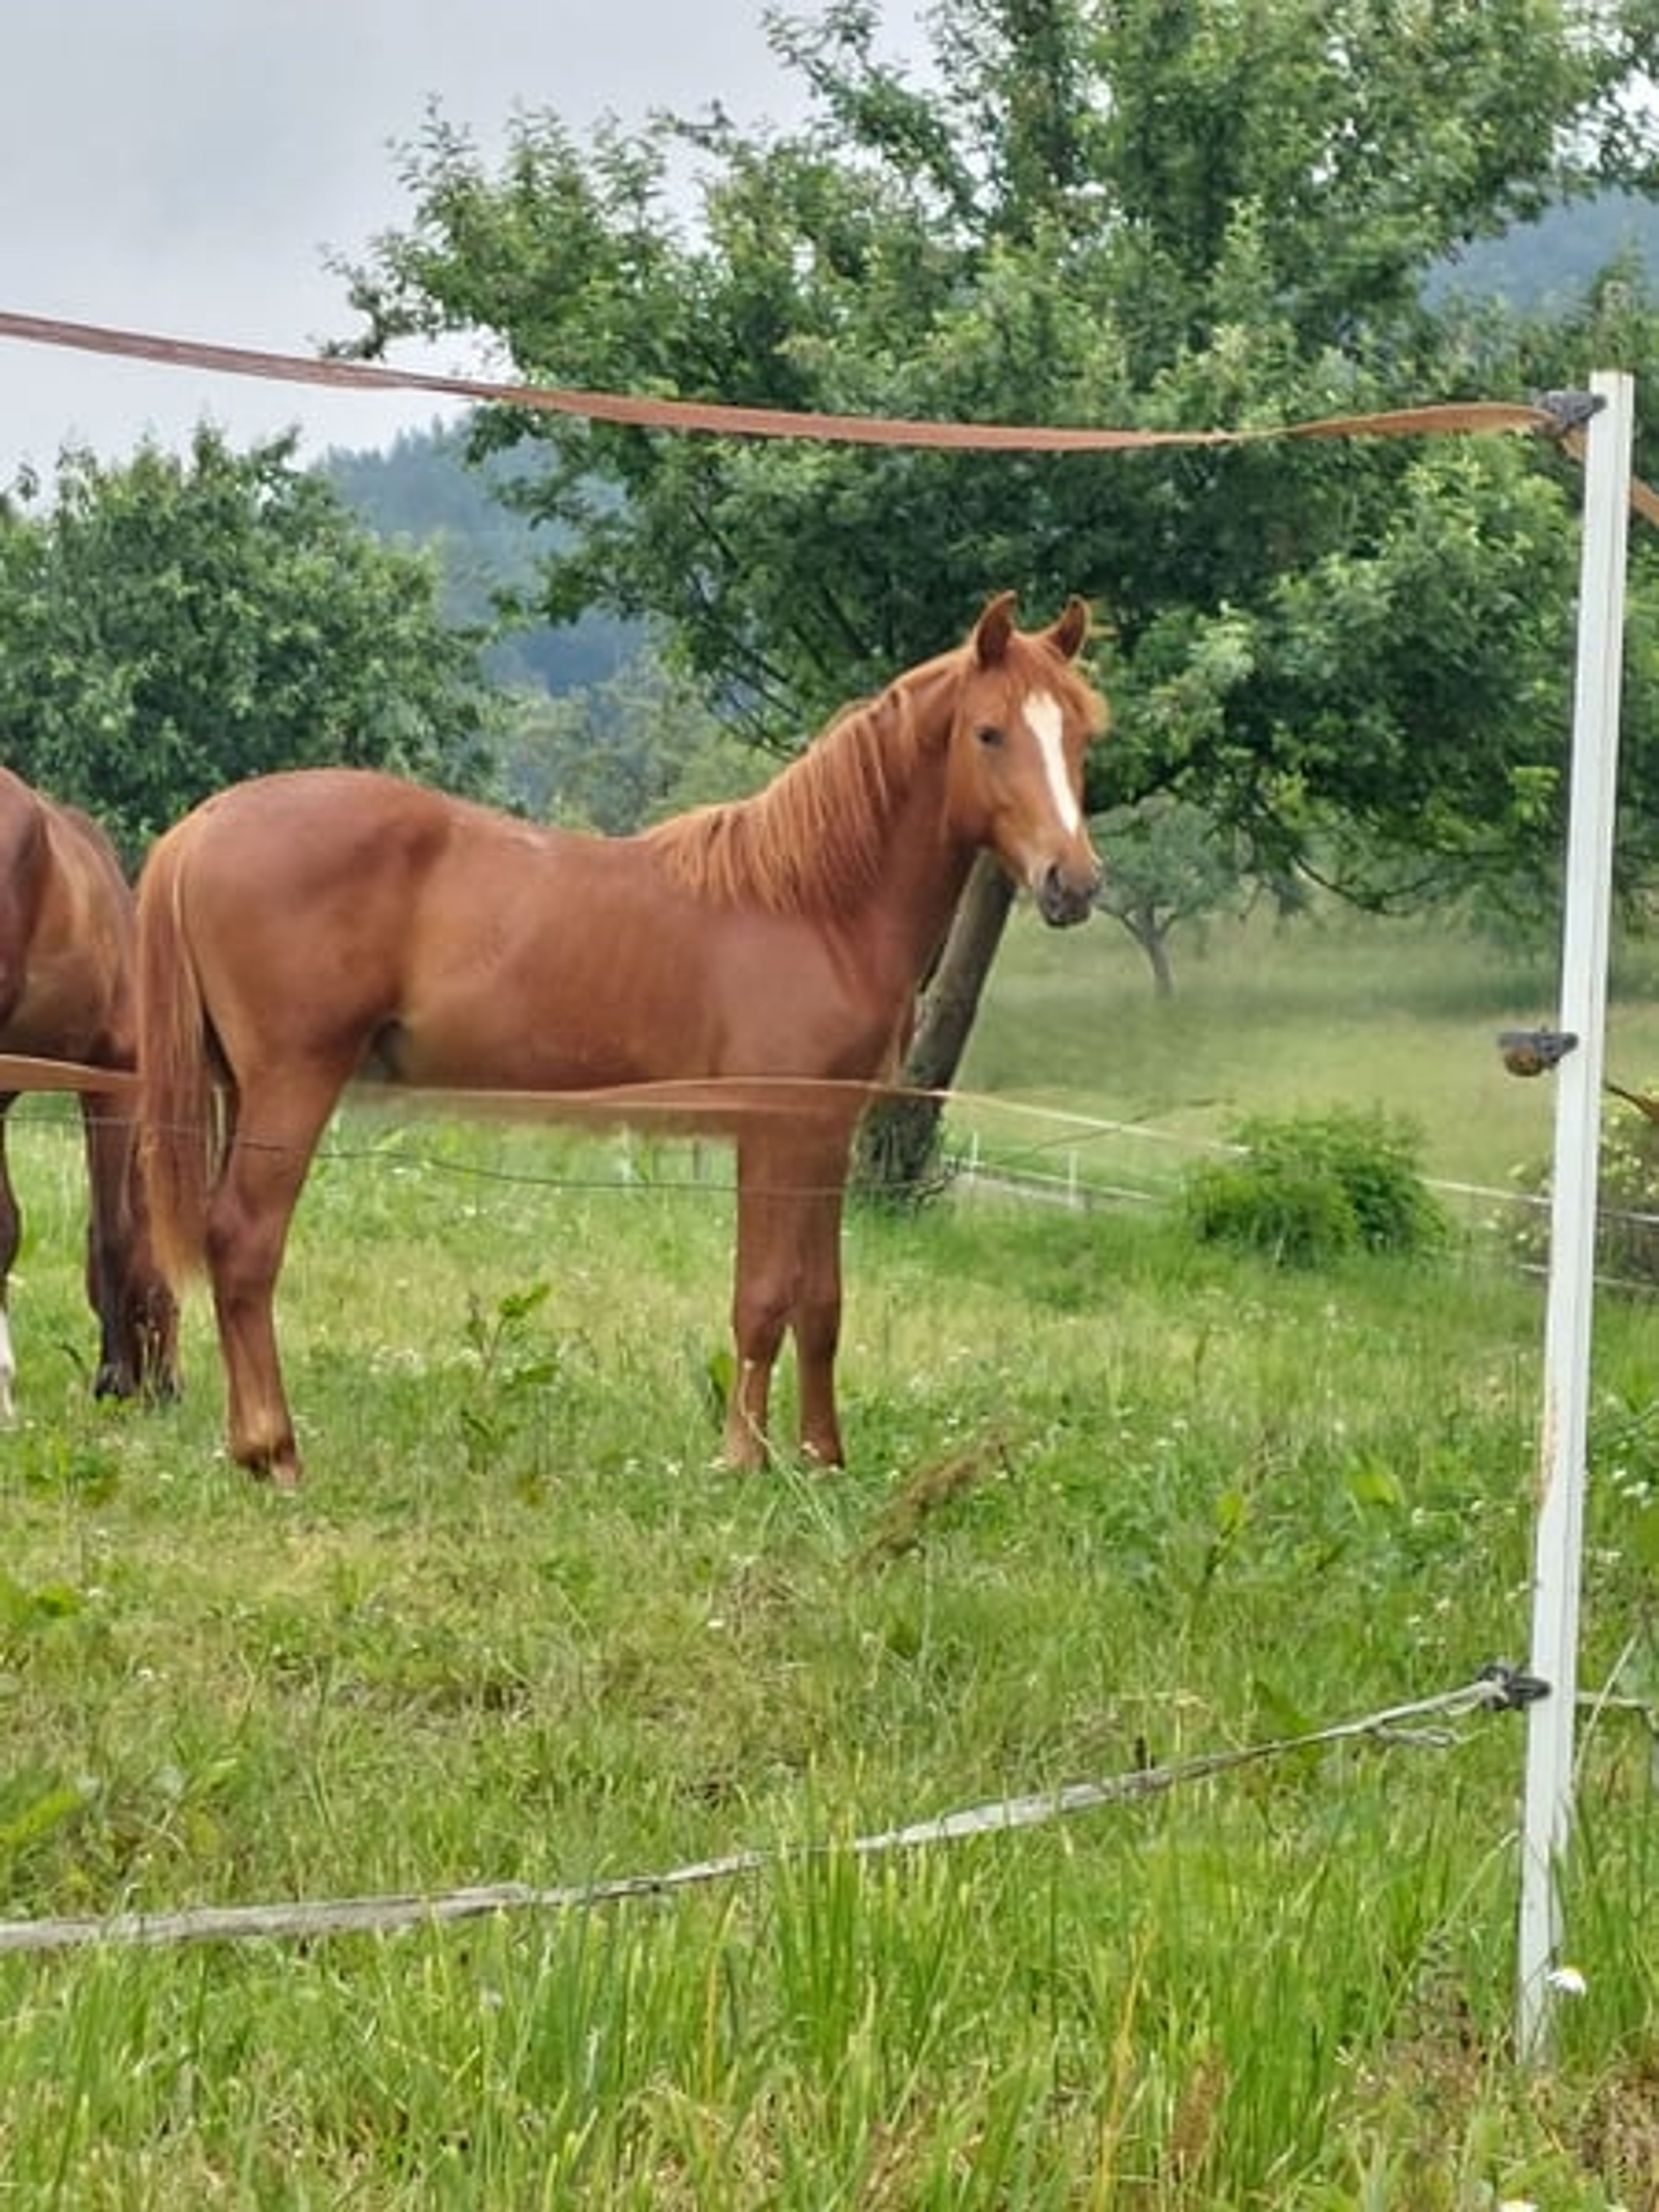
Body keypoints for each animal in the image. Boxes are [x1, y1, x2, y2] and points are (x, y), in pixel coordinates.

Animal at [135, 591, 1108, 1487]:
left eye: (1080, 738)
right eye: (989, 733)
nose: (1075, 882)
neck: (812, 904)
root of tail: (203, 825)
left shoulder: (825, 1133)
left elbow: (823, 1304)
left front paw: (823, 1460)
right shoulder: (776, 1128)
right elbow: (763, 1298)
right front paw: (742, 1462)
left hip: (243, 1088)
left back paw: (247, 1447)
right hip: (293, 1083)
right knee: (247, 1242)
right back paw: (277, 1453)